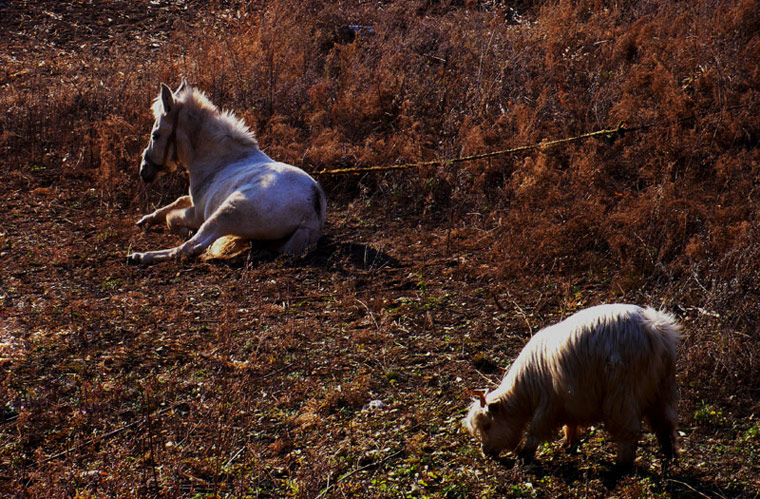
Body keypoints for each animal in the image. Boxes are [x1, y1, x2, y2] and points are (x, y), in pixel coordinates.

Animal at [127, 80, 324, 264]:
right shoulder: (193, 201)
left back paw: (140, 256)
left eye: (156, 135)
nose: (144, 170)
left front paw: (184, 230)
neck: (220, 162)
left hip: (225, 214)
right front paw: (146, 219)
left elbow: (171, 217)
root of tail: (313, 203)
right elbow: (176, 202)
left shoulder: (198, 214)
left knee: (191, 247)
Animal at [464, 302, 684, 470]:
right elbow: (570, 423)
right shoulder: (570, 400)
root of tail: (655, 328)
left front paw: (526, 455)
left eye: (487, 425)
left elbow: (535, 429)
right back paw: (669, 458)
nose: (486, 452)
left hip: (623, 394)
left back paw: (621, 466)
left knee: (629, 431)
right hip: (662, 389)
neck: (526, 390)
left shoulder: (548, 402)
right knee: (665, 424)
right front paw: (569, 443)